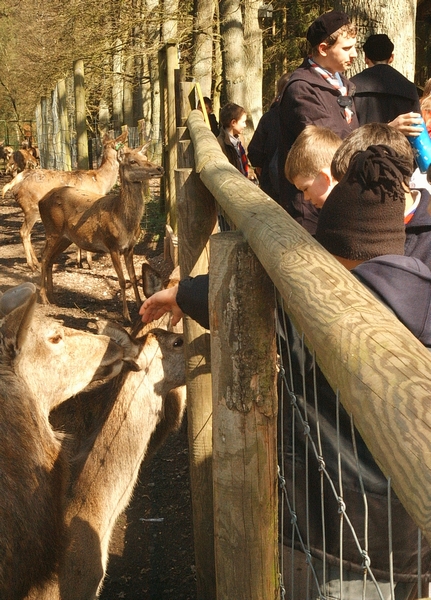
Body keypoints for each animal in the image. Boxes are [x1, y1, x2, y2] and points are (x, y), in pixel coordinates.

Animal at [2, 129, 128, 271]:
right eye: (123, 145)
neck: (100, 182)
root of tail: (14, 183)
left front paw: (79, 263)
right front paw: (89, 263)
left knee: (28, 233)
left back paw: (36, 263)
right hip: (31, 208)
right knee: (24, 232)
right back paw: (32, 265)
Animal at [38, 145, 164, 323]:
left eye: (145, 157)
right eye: (132, 161)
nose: (159, 168)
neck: (124, 221)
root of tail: (40, 201)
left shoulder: (130, 247)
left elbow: (133, 277)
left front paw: (140, 306)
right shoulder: (112, 245)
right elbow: (122, 280)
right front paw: (126, 316)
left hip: (65, 238)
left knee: (50, 259)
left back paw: (54, 298)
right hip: (52, 230)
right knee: (43, 257)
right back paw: (43, 298)